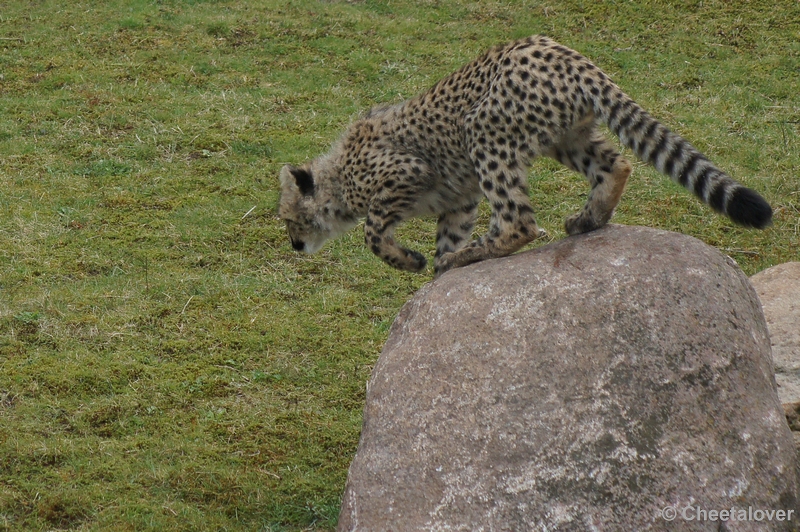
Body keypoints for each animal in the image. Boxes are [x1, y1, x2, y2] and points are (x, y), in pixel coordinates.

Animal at [278, 35, 772, 276]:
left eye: (289, 218)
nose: (295, 245)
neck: (338, 176)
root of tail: (569, 55)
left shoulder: (407, 170)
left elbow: (374, 234)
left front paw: (414, 260)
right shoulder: (460, 200)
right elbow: (447, 234)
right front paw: (436, 269)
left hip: (483, 130)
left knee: (521, 222)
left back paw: (477, 253)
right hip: (565, 136)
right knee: (616, 164)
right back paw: (588, 219)